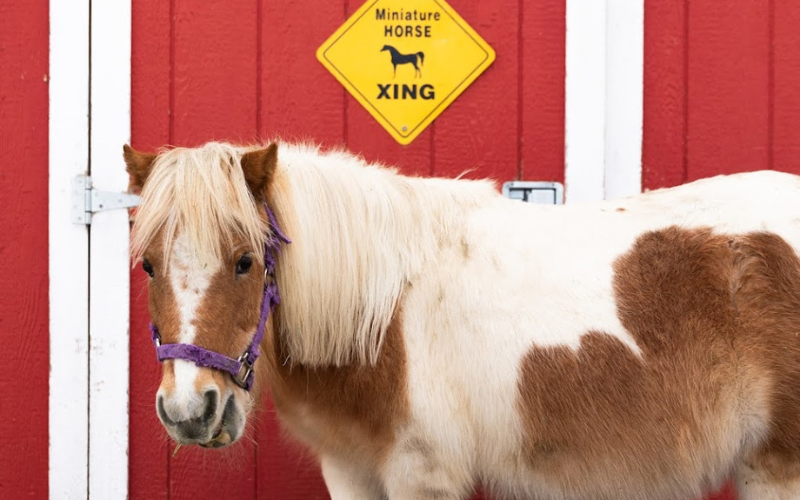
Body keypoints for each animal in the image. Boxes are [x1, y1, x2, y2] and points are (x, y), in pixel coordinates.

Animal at [125, 142, 800, 500]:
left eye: (245, 261)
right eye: (149, 265)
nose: (190, 411)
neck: (383, 311)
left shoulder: (421, 473)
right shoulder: (350, 470)